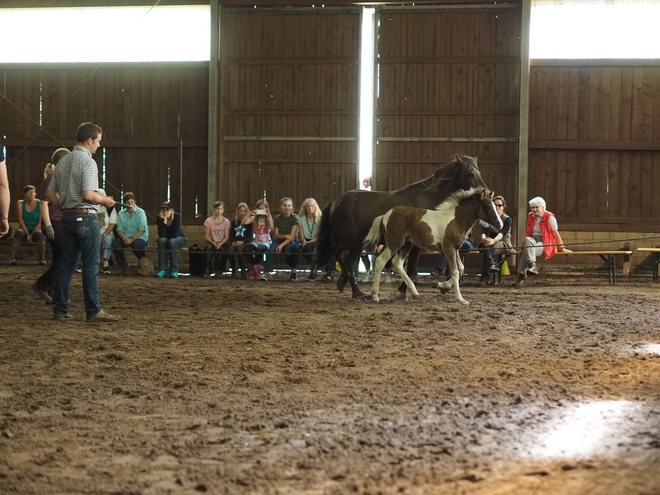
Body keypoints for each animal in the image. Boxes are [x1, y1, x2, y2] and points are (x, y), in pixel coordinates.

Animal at [314, 156, 490, 298]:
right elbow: (411, 268)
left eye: (479, 172)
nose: (486, 192)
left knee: (348, 261)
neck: (428, 199)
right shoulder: (416, 245)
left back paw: (354, 289)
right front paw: (403, 291)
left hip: (358, 243)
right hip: (349, 240)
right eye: (470, 173)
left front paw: (442, 288)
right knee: (338, 253)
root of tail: (336, 202)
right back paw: (348, 285)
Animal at [360, 188, 500, 306]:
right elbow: (455, 272)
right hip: (394, 243)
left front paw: (442, 287)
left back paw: (415, 292)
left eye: (495, 206)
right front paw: (460, 299)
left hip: (406, 244)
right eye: (488, 207)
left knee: (397, 263)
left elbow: (461, 269)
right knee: (380, 261)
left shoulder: (455, 249)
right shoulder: (449, 249)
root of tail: (385, 215)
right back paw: (375, 296)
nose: (499, 224)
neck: (456, 220)